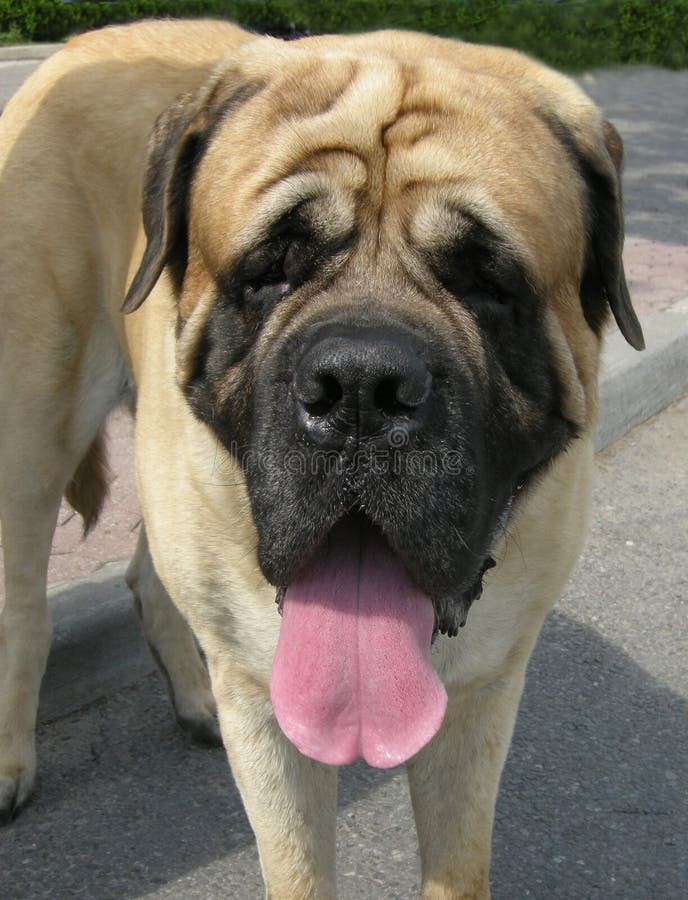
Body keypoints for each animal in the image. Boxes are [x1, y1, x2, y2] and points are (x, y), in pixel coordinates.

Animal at [0, 17, 644, 896]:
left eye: (486, 282)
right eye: (273, 269)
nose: (362, 388)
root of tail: (79, 43)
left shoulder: (485, 690)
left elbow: (458, 863)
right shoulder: (270, 719)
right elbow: (299, 868)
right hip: (35, 425)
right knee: (23, 604)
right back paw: (12, 760)